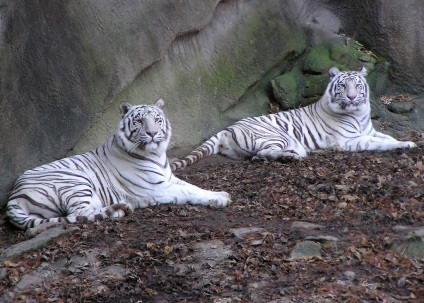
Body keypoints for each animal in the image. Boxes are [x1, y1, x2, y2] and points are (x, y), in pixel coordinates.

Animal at [5, 99, 232, 230]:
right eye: (139, 121)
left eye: (157, 119)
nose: (152, 133)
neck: (157, 155)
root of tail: (13, 196)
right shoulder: (156, 188)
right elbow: (188, 192)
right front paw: (221, 198)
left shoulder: (169, 179)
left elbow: (192, 186)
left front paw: (218, 194)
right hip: (75, 181)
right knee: (79, 214)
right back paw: (121, 209)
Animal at [171, 67, 416, 171]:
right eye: (342, 86)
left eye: (357, 85)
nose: (352, 97)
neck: (358, 114)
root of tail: (227, 129)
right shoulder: (351, 140)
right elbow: (381, 143)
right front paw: (407, 144)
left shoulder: (369, 131)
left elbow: (386, 136)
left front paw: (404, 141)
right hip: (279, 137)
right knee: (268, 152)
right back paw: (291, 158)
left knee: (258, 155)